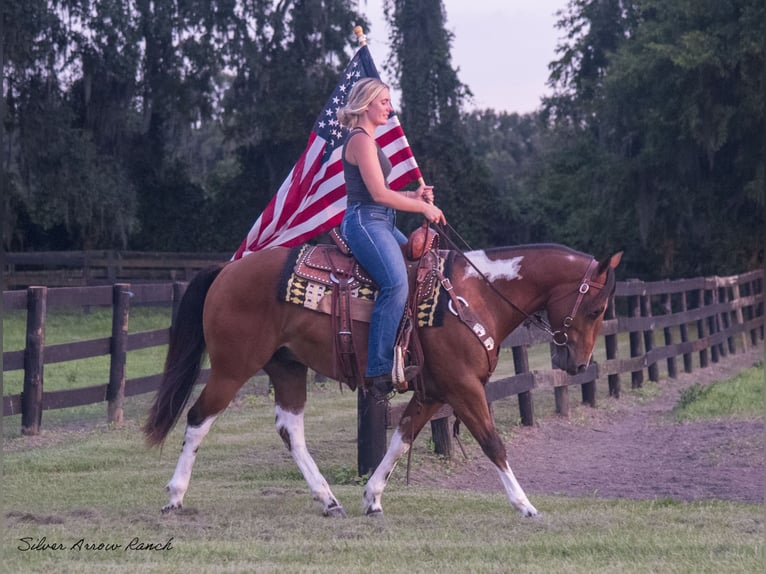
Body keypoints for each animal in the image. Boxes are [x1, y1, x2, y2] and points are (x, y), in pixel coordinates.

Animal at [144, 241, 624, 520]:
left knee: (289, 430)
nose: (578, 362)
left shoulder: (433, 392)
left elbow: (402, 438)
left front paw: (372, 496)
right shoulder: (464, 387)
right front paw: (525, 505)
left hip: (287, 368)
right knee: (198, 418)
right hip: (232, 367)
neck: (477, 294)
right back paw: (174, 495)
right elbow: (493, 442)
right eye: (597, 308)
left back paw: (328, 499)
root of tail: (226, 271)